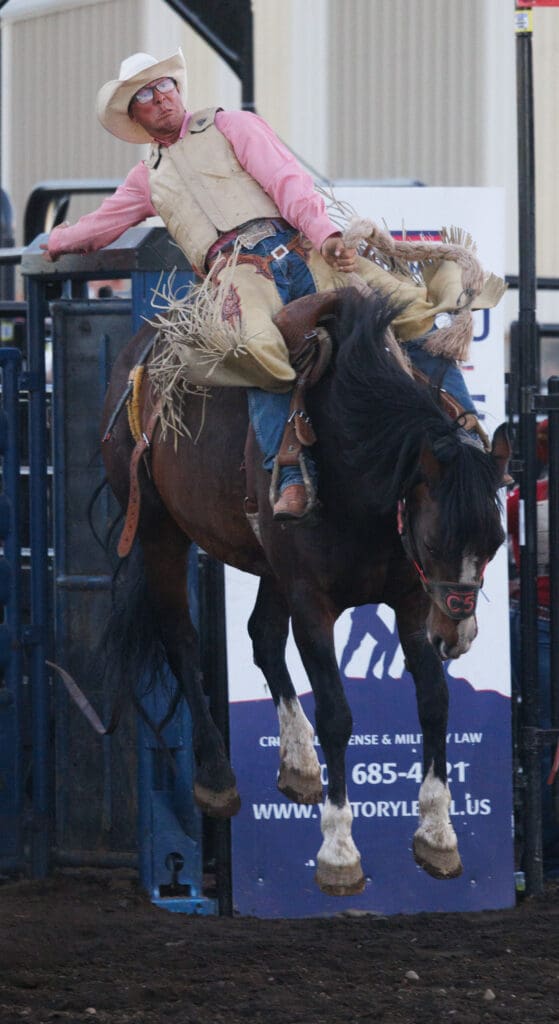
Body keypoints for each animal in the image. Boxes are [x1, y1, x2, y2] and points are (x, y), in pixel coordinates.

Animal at [100, 288, 509, 897]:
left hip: (270, 567)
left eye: (497, 540)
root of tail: (139, 354)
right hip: (158, 529)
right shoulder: (313, 604)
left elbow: (435, 701)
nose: (458, 635)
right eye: (437, 539)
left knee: (263, 637)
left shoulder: (412, 604)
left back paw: (299, 764)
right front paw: (339, 852)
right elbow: (337, 714)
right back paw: (217, 777)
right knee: (181, 638)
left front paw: (438, 836)